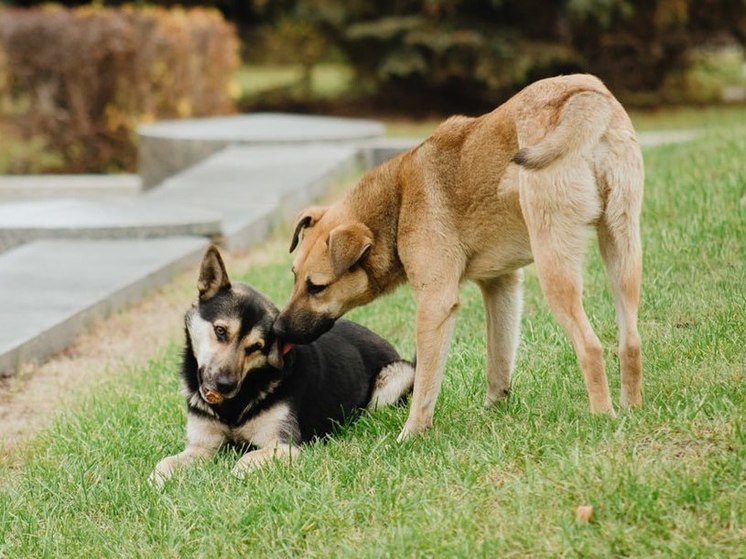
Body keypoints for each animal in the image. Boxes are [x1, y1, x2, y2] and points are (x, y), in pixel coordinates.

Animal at [147, 247, 410, 488]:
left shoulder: (284, 446)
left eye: (256, 347)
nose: (224, 385)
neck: (235, 403)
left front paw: (230, 479)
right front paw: (154, 482)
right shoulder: (201, 446)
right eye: (220, 330)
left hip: (398, 376)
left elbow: (244, 461)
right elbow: (165, 462)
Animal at [274, 73, 644, 442]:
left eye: (316, 287)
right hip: (622, 250)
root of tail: (583, 94)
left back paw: (602, 417)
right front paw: (494, 411)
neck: (397, 203)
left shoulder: (435, 304)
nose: (278, 328)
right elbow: (499, 360)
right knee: (630, 342)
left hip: (555, 265)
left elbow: (425, 384)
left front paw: (411, 434)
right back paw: (631, 409)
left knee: (591, 347)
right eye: (293, 277)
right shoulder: (501, 285)